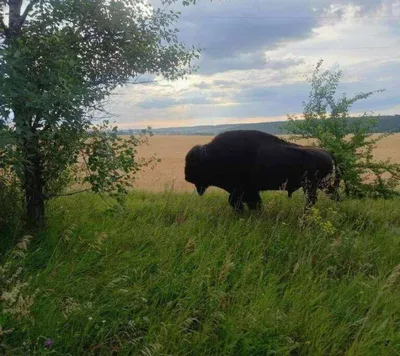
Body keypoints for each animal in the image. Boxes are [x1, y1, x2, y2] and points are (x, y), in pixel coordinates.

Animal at [184, 130, 340, 211]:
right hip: (321, 185)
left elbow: (239, 201)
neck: (211, 156)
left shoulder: (241, 190)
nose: (186, 177)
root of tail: (327, 153)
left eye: (193, 164)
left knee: (312, 201)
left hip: (312, 186)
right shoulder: (247, 191)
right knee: (332, 195)